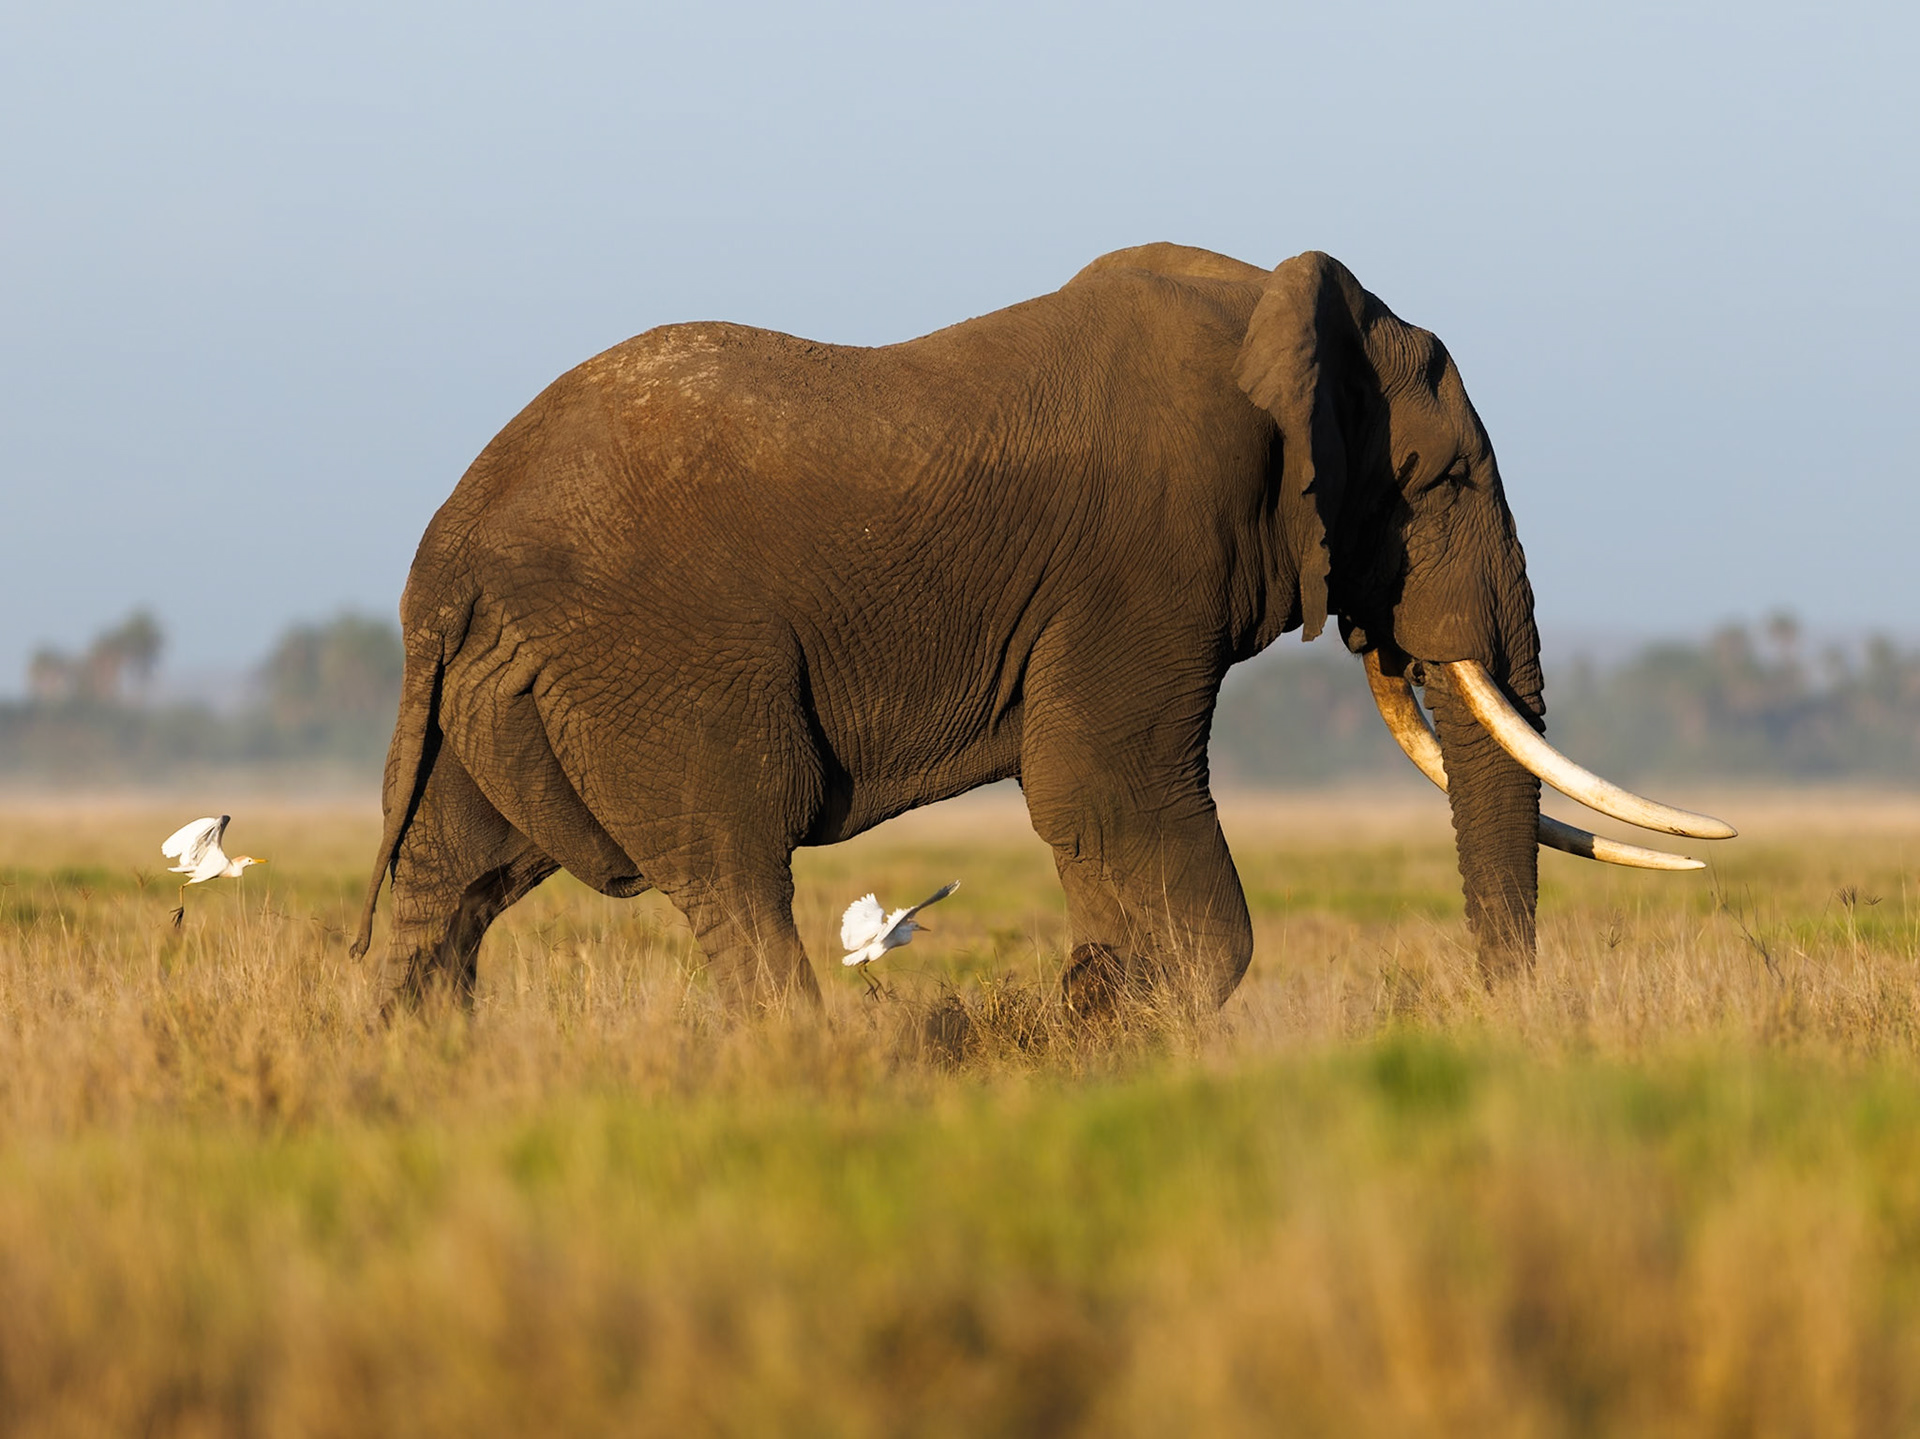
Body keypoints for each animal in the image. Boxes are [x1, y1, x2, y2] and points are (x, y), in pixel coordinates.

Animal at [349, 241, 1732, 1013]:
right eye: (1439, 482)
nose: (1500, 1016)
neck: (1270, 308)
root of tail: (445, 551)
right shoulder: (1149, 550)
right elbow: (1102, 788)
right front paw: (1101, 1011)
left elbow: (1091, 799)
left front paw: (1094, 1001)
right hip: (656, 662)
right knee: (732, 870)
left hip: (506, 689)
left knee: (453, 884)